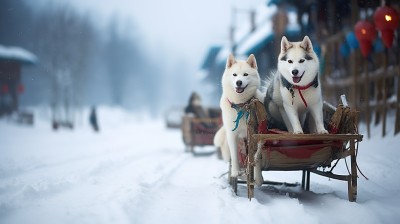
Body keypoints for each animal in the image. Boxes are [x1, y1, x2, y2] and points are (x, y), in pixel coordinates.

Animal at [214, 53, 264, 185]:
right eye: (234, 75)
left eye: (246, 74)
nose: (239, 82)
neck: (241, 106)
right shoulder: (232, 135)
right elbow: (234, 156)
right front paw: (235, 172)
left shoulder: (255, 134)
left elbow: (256, 159)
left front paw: (258, 178)